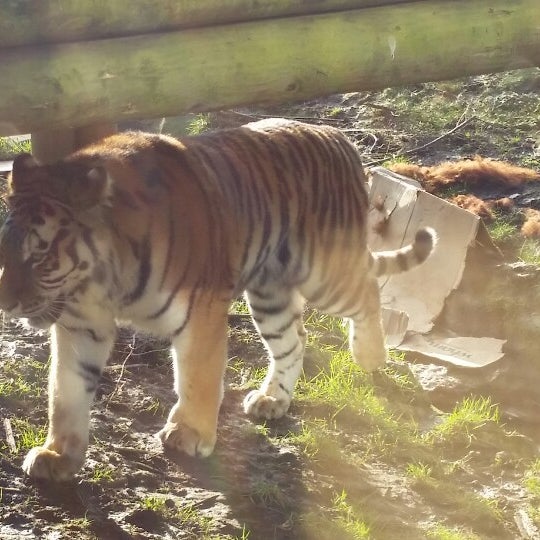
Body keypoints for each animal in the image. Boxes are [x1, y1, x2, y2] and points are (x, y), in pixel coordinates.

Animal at [0, 119, 436, 480]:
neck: (99, 283)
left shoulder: (200, 312)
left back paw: (370, 355)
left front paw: (189, 433)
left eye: (40, 254)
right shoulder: (80, 324)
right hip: (270, 293)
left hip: (326, 275)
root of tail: (339, 136)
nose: (6, 303)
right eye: (5, 248)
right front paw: (58, 455)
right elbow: (66, 392)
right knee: (295, 340)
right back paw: (272, 399)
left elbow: (199, 377)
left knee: (368, 292)